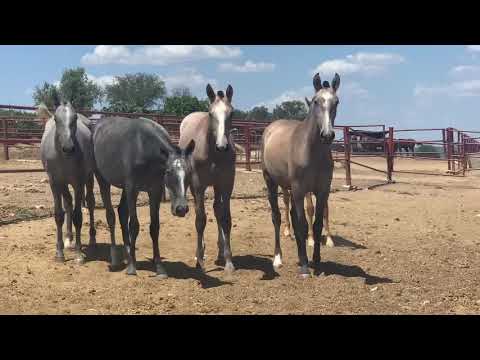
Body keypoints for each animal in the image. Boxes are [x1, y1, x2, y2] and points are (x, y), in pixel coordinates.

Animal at [39, 101, 96, 264]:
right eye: (56, 119)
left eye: (74, 118)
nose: (68, 148)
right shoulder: (55, 183)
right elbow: (59, 215)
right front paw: (59, 253)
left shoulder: (78, 183)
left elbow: (78, 216)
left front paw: (78, 254)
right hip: (64, 184)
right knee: (68, 203)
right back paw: (68, 239)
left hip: (89, 177)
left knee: (90, 202)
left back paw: (92, 239)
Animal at [92, 116, 195, 278]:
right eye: (168, 171)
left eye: (189, 172)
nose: (181, 209)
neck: (144, 148)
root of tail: (97, 127)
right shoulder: (132, 189)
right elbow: (134, 225)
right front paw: (132, 267)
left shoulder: (155, 191)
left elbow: (154, 227)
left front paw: (159, 267)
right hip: (103, 180)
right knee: (111, 216)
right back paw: (116, 260)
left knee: (122, 212)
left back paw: (129, 254)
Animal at [178, 85, 236, 276]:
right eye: (211, 113)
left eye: (231, 113)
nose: (222, 146)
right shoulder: (198, 185)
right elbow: (200, 220)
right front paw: (200, 262)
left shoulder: (226, 184)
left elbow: (225, 218)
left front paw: (228, 261)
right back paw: (200, 252)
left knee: (217, 210)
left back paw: (220, 251)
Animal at [260, 71, 340, 278]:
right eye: (316, 101)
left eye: (336, 102)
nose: (327, 135)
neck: (311, 151)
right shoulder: (299, 190)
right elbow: (303, 223)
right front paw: (304, 267)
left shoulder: (322, 191)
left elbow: (317, 224)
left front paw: (317, 263)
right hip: (272, 183)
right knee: (277, 217)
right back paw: (278, 258)